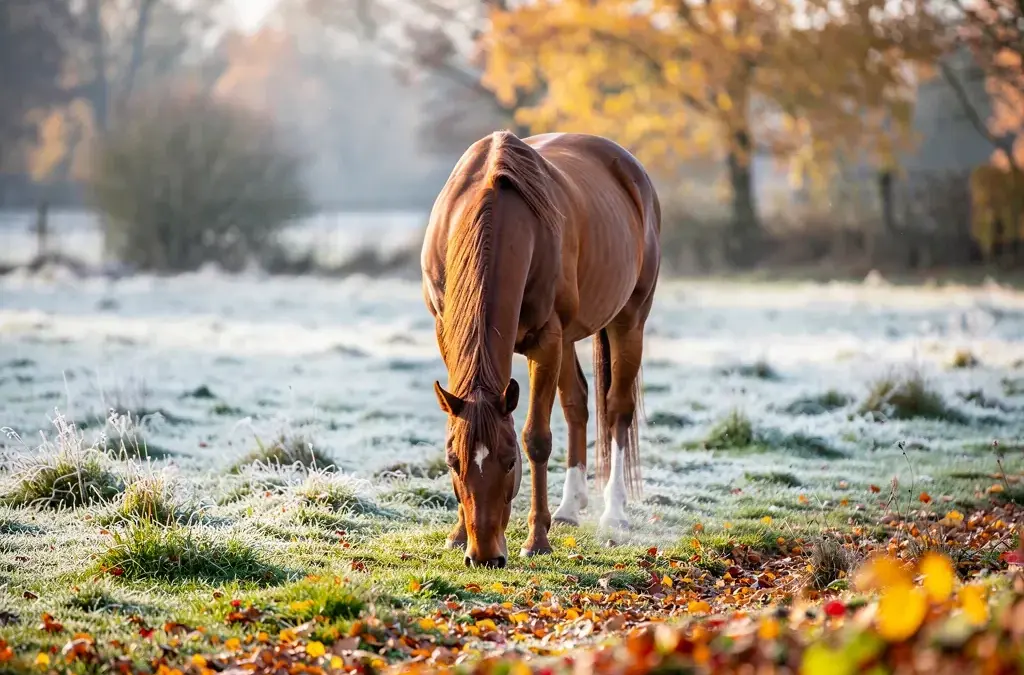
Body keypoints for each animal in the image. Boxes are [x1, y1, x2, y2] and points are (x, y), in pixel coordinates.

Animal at [421, 130, 661, 568]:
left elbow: (537, 438)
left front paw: (536, 539)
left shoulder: (546, 341)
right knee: (578, 403)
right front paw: (458, 534)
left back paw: (613, 514)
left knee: (617, 410)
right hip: (569, 340)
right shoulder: (445, 330)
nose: (485, 557)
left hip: (629, 319)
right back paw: (568, 508)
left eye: (509, 461)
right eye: (452, 462)